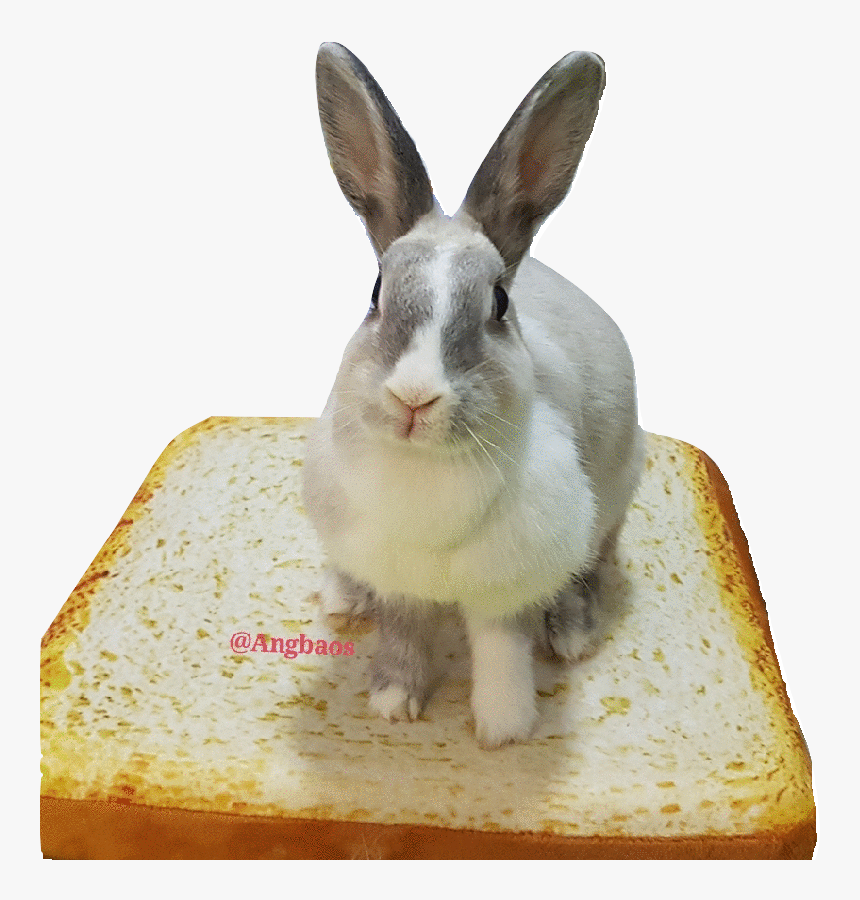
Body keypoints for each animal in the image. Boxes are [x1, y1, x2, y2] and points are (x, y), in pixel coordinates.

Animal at [303, 42, 644, 748]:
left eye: (499, 303)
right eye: (375, 294)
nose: (414, 397)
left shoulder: (508, 579)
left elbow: (500, 648)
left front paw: (504, 730)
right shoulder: (395, 573)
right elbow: (402, 630)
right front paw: (394, 701)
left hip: (613, 495)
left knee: (592, 565)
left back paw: (571, 632)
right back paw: (344, 595)